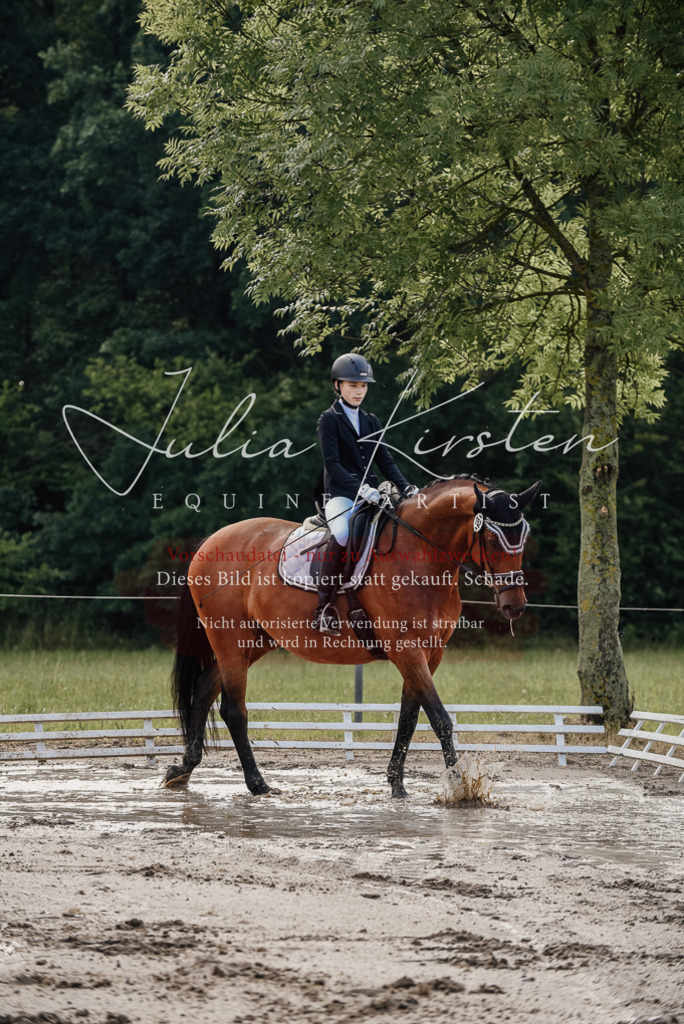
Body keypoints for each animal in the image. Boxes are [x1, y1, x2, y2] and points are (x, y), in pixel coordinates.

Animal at [164, 477, 541, 798]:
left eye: (523, 537)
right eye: (491, 539)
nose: (514, 604)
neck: (420, 558)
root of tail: (210, 542)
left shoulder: (429, 653)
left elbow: (408, 718)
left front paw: (397, 784)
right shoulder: (407, 650)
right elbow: (440, 719)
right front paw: (462, 786)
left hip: (253, 643)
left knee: (204, 689)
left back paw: (182, 770)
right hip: (230, 640)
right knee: (233, 709)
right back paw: (258, 784)